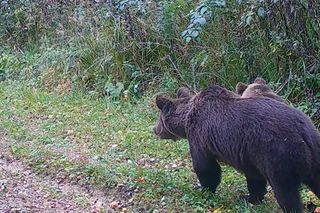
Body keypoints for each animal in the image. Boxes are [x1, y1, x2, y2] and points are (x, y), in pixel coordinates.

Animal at [154, 85, 318, 213]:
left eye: (159, 119)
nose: (154, 129)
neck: (187, 118)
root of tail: (303, 133)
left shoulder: (199, 137)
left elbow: (206, 167)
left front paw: (203, 190)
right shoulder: (249, 152)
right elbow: (254, 177)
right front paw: (250, 197)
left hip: (279, 154)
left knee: (286, 192)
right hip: (314, 154)